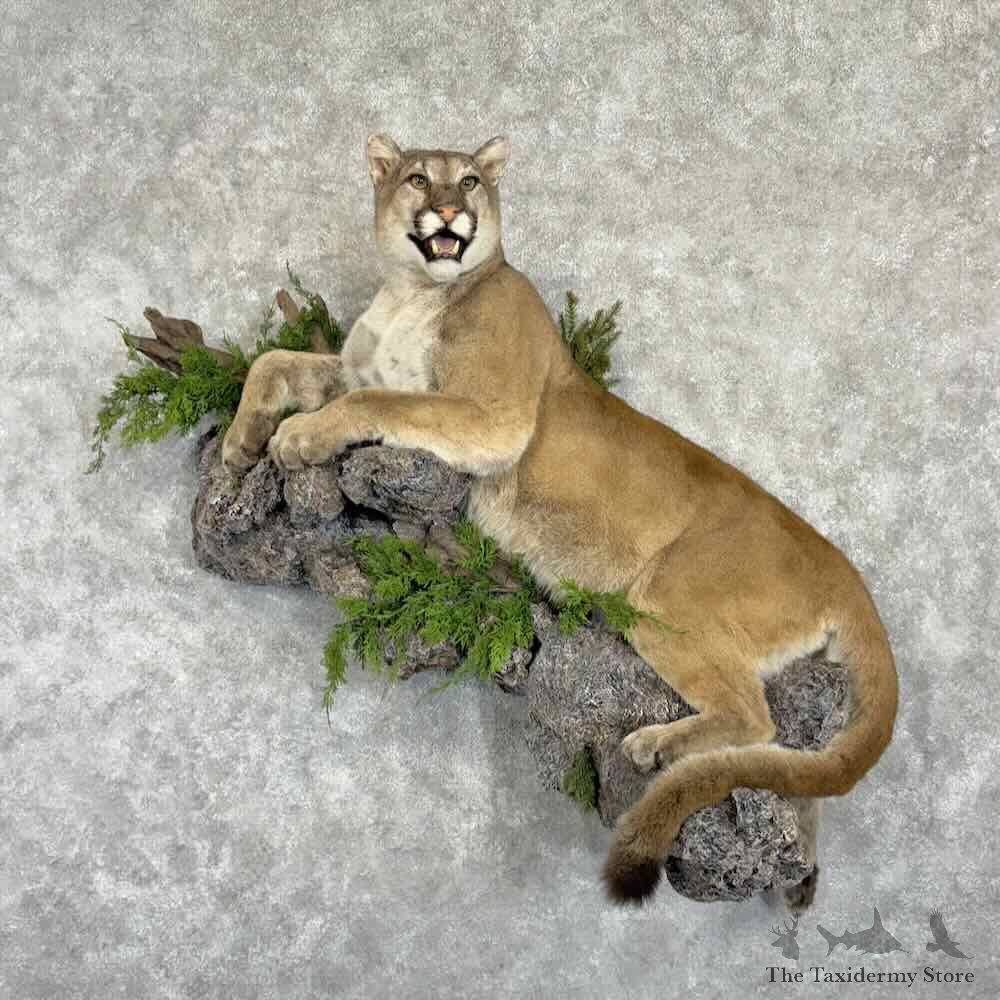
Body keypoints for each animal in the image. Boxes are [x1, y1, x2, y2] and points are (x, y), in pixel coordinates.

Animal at [219, 133, 898, 908]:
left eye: (470, 181)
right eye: (419, 177)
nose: (447, 210)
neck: (412, 290)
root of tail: (844, 570)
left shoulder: (494, 415)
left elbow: (378, 403)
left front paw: (298, 437)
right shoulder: (359, 368)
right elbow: (278, 361)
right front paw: (241, 439)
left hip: (666, 596)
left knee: (758, 717)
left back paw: (655, 745)